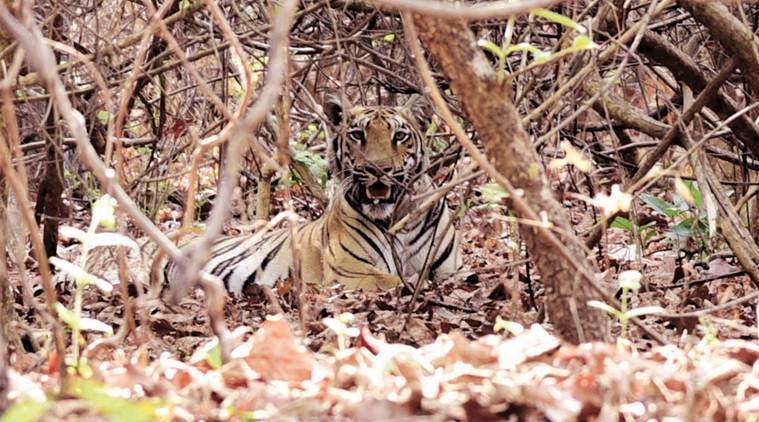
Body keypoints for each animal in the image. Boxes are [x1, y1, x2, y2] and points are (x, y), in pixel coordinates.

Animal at [163, 94, 460, 296]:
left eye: (399, 136)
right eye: (357, 135)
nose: (377, 168)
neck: (398, 220)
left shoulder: (450, 269)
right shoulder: (350, 270)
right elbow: (399, 281)